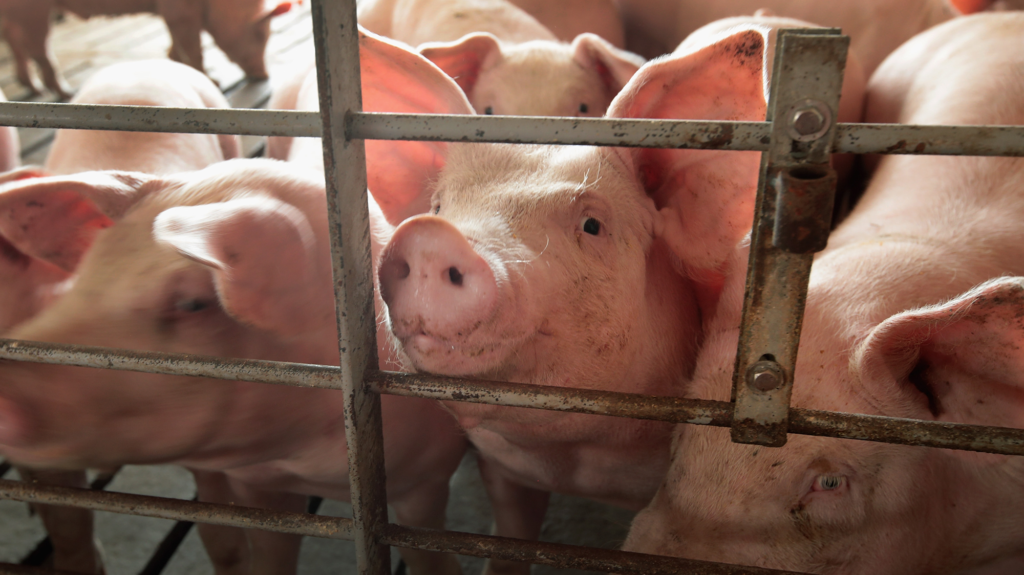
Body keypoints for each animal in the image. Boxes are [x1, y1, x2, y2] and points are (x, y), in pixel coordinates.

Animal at [0, 0, 294, 99]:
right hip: (31, 8)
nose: (263, 75)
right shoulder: (181, 11)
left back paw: (35, 88)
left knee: (14, 41)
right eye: (260, 32)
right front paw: (213, 82)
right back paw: (65, 92)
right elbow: (193, 46)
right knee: (36, 47)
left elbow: (177, 45)